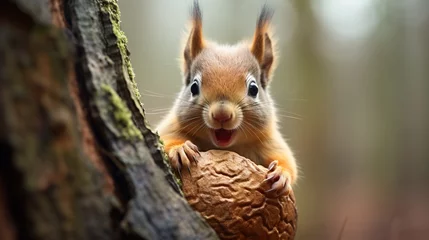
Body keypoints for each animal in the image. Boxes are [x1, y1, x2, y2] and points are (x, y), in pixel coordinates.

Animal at [156, 1, 298, 196]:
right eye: (194, 87)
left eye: (254, 89)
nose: (221, 115)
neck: (225, 148)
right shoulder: (170, 126)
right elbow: (164, 137)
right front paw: (180, 149)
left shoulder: (269, 142)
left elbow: (288, 161)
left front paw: (281, 173)